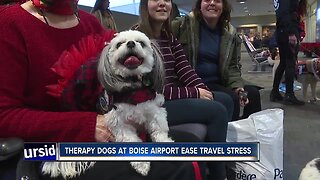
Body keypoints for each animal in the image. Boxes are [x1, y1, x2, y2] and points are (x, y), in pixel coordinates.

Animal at [42, 30, 174, 179]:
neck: (134, 88)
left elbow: (159, 130)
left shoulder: (154, 111)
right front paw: (141, 163)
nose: (131, 43)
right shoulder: (118, 122)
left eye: (141, 42)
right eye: (119, 44)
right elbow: (130, 140)